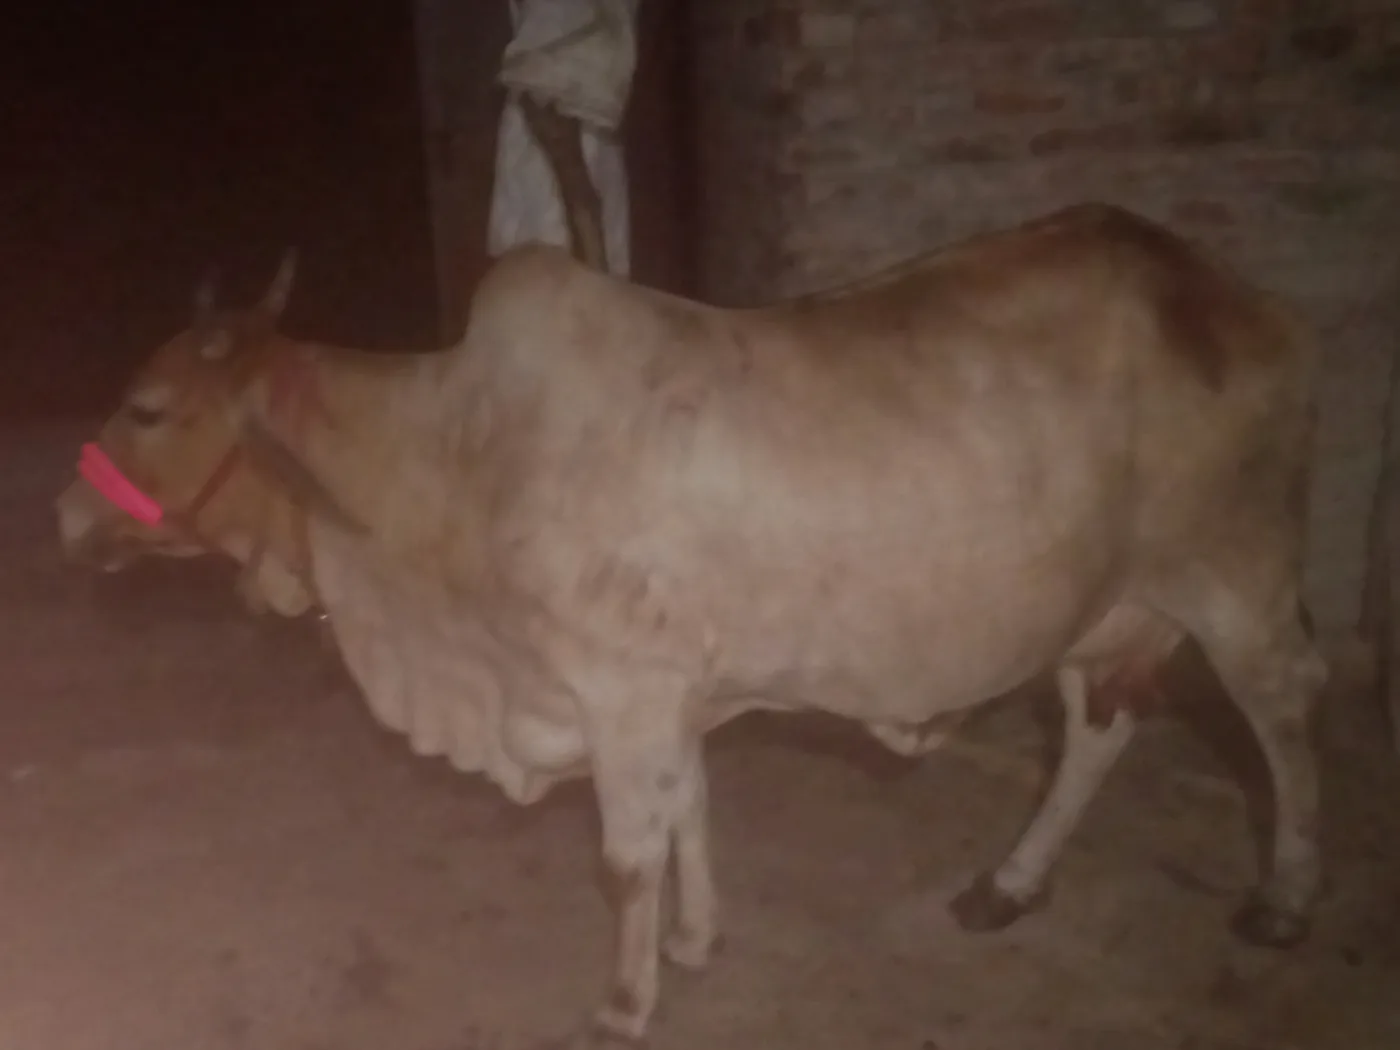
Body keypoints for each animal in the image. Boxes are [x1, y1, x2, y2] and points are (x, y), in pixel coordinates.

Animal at [56, 204, 1327, 1044]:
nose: (64, 513)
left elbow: (628, 858)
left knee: (1282, 722)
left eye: (149, 407)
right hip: (1102, 608)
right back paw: (1005, 884)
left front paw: (624, 1001)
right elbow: (691, 818)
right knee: (1097, 730)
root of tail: (1233, 294)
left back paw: (1282, 902)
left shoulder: (624, 695)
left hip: (1234, 578)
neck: (455, 456)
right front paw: (693, 943)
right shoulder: (669, 699)